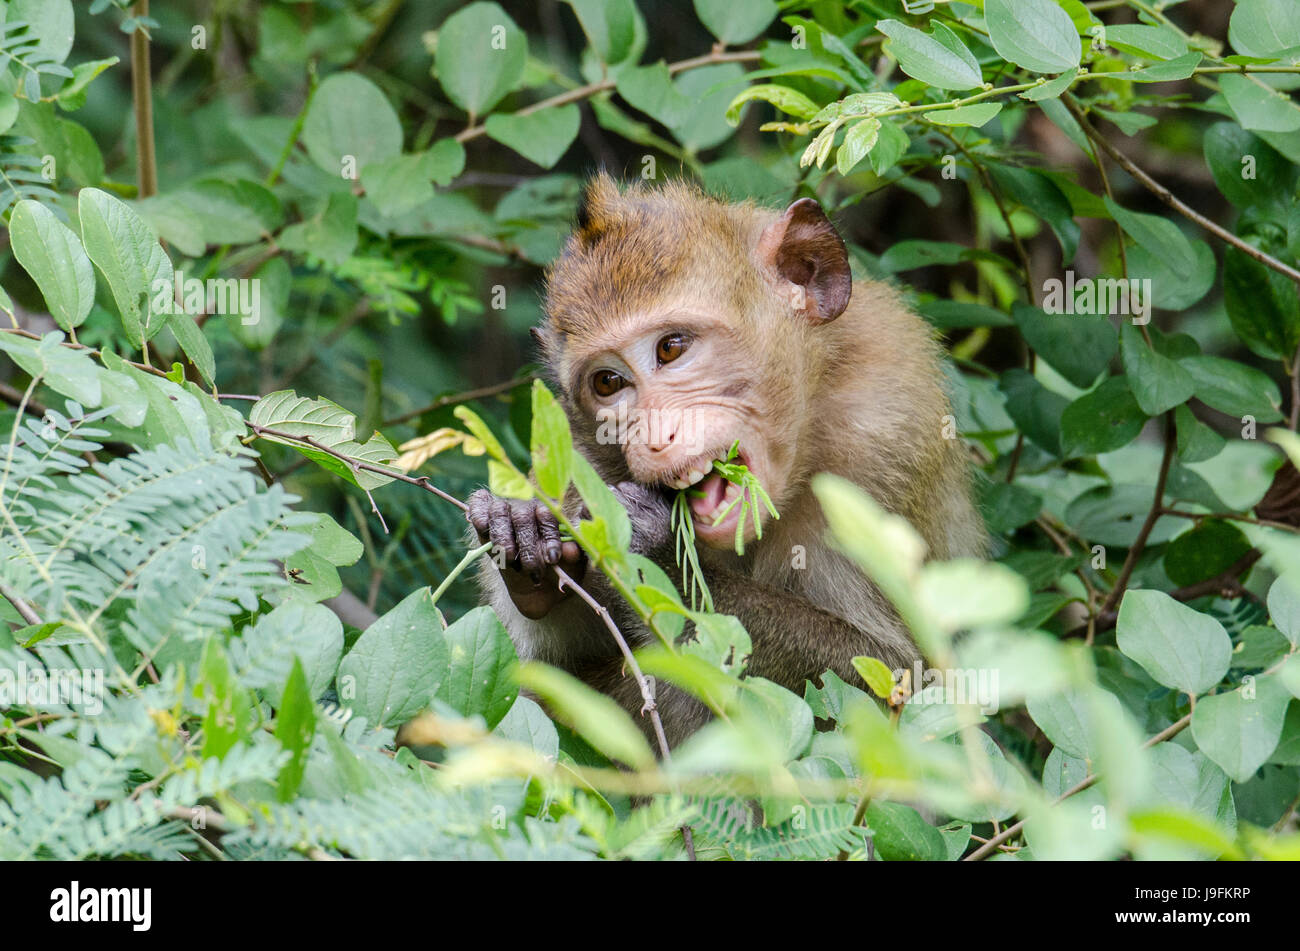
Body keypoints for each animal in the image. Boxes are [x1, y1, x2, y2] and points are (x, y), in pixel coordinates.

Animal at [467, 172, 982, 748]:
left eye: (671, 348)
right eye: (607, 383)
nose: (654, 436)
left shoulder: (886, 438)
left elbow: (890, 674)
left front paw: (653, 550)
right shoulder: (581, 456)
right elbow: (552, 675)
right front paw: (523, 532)